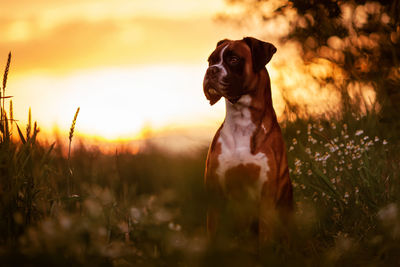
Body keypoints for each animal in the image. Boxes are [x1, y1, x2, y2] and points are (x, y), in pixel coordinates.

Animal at [205, 36, 292, 246]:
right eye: (210, 61)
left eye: (234, 59)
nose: (211, 71)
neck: (241, 121)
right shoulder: (215, 192)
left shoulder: (266, 194)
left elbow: (266, 233)